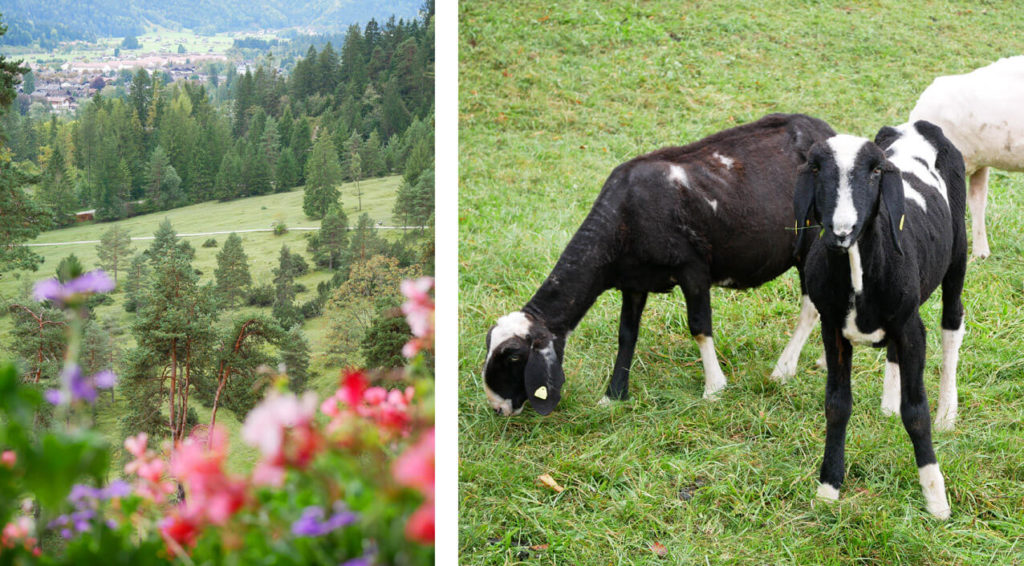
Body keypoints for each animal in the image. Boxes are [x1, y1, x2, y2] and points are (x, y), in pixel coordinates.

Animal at [483, 113, 835, 415]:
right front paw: (613, 396)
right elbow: (627, 334)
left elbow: (699, 327)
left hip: (813, 237)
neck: (623, 218)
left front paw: (714, 389)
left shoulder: (693, 268)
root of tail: (824, 130)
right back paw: (823, 361)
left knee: (811, 307)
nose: (498, 408)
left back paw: (783, 370)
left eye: (513, 357)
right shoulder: (633, 282)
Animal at [790, 121, 966, 517]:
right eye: (816, 169)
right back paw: (888, 403)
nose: (841, 230)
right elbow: (837, 405)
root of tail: (917, 125)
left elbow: (916, 412)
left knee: (952, 324)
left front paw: (936, 498)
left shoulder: (911, 327)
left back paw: (948, 412)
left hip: (958, 253)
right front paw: (828, 487)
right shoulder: (832, 329)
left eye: (874, 172)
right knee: (894, 354)